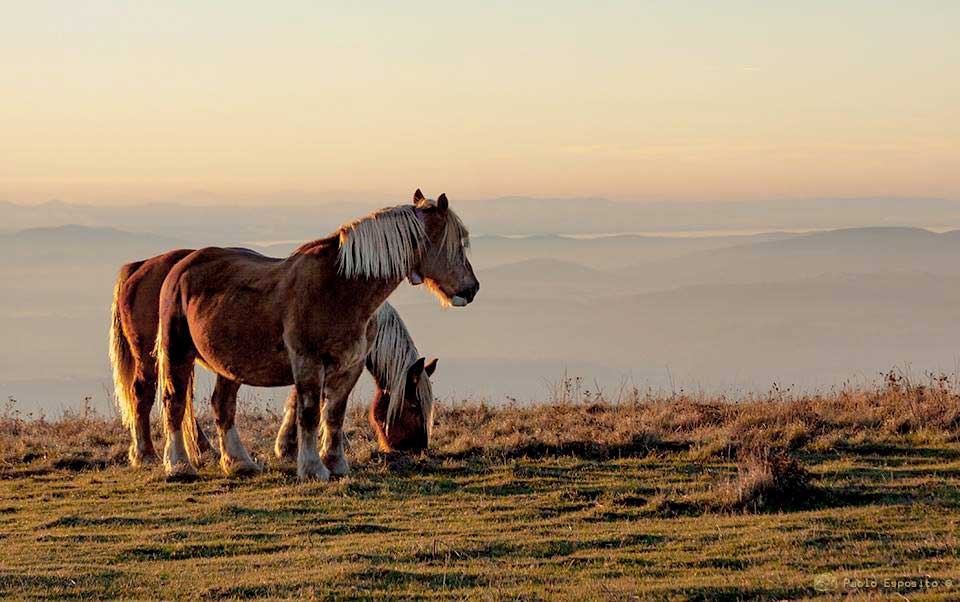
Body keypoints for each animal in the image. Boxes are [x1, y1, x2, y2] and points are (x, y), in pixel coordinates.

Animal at [109, 243, 438, 464]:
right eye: (413, 405)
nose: (417, 448)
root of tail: (137, 268)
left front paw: (290, 445)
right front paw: (290, 446)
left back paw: (204, 448)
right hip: (151, 356)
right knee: (144, 394)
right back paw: (145, 454)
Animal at [153, 192, 476, 478]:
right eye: (413, 404)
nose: (472, 289)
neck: (340, 289)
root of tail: (181, 267)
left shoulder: (350, 366)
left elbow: (334, 414)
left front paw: (335, 464)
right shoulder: (308, 362)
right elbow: (309, 413)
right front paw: (310, 467)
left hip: (230, 365)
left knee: (223, 405)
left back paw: (240, 463)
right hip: (177, 351)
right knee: (174, 402)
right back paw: (179, 466)